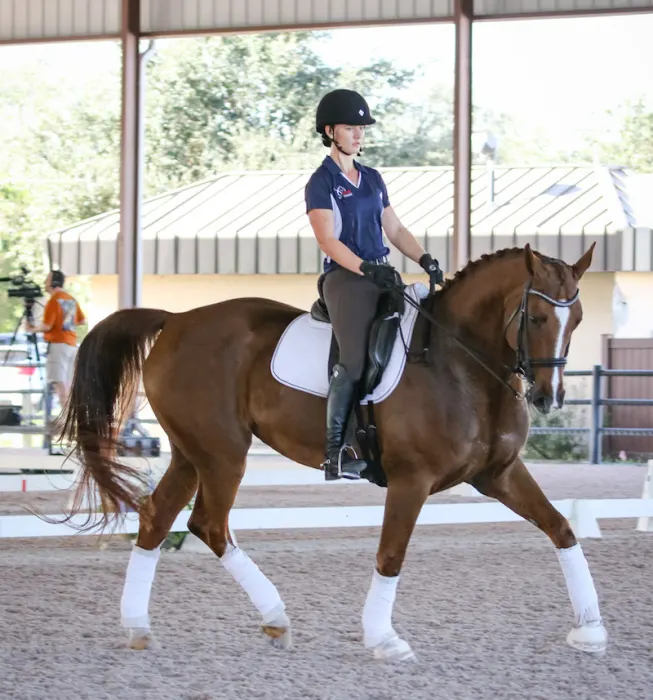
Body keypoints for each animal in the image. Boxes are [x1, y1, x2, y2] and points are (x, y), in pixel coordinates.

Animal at [61, 242, 608, 660]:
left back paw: (138, 626)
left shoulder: (499, 474)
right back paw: (276, 617)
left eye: (578, 319)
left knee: (157, 517)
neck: (460, 365)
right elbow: (391, 555)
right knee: (209, 525)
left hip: (191, 452)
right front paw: (384, 639)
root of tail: (175, 320)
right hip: (223, 454)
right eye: (536, 316)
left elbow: (561, 528)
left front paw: (590, 630)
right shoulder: (411, 480)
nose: (548, 397)